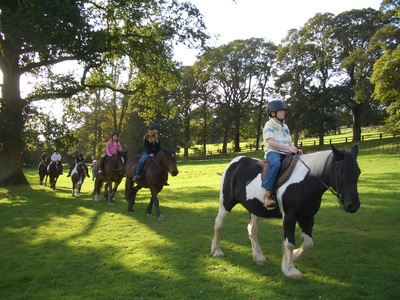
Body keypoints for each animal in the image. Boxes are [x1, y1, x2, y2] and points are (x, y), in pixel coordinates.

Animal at [211, 145, 360, 278]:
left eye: (358, 172)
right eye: (341, 172)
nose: (353, 206)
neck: (305, 182)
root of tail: (235, 162)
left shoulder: (308, 217)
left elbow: (308, 243)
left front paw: (294, 256)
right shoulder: (289, 217)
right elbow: (289, 243)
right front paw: (289, 270)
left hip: (254, 209)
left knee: (252, 230)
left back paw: (258, 257)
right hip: (226, 203)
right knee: (219, 224)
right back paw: (217, 251)